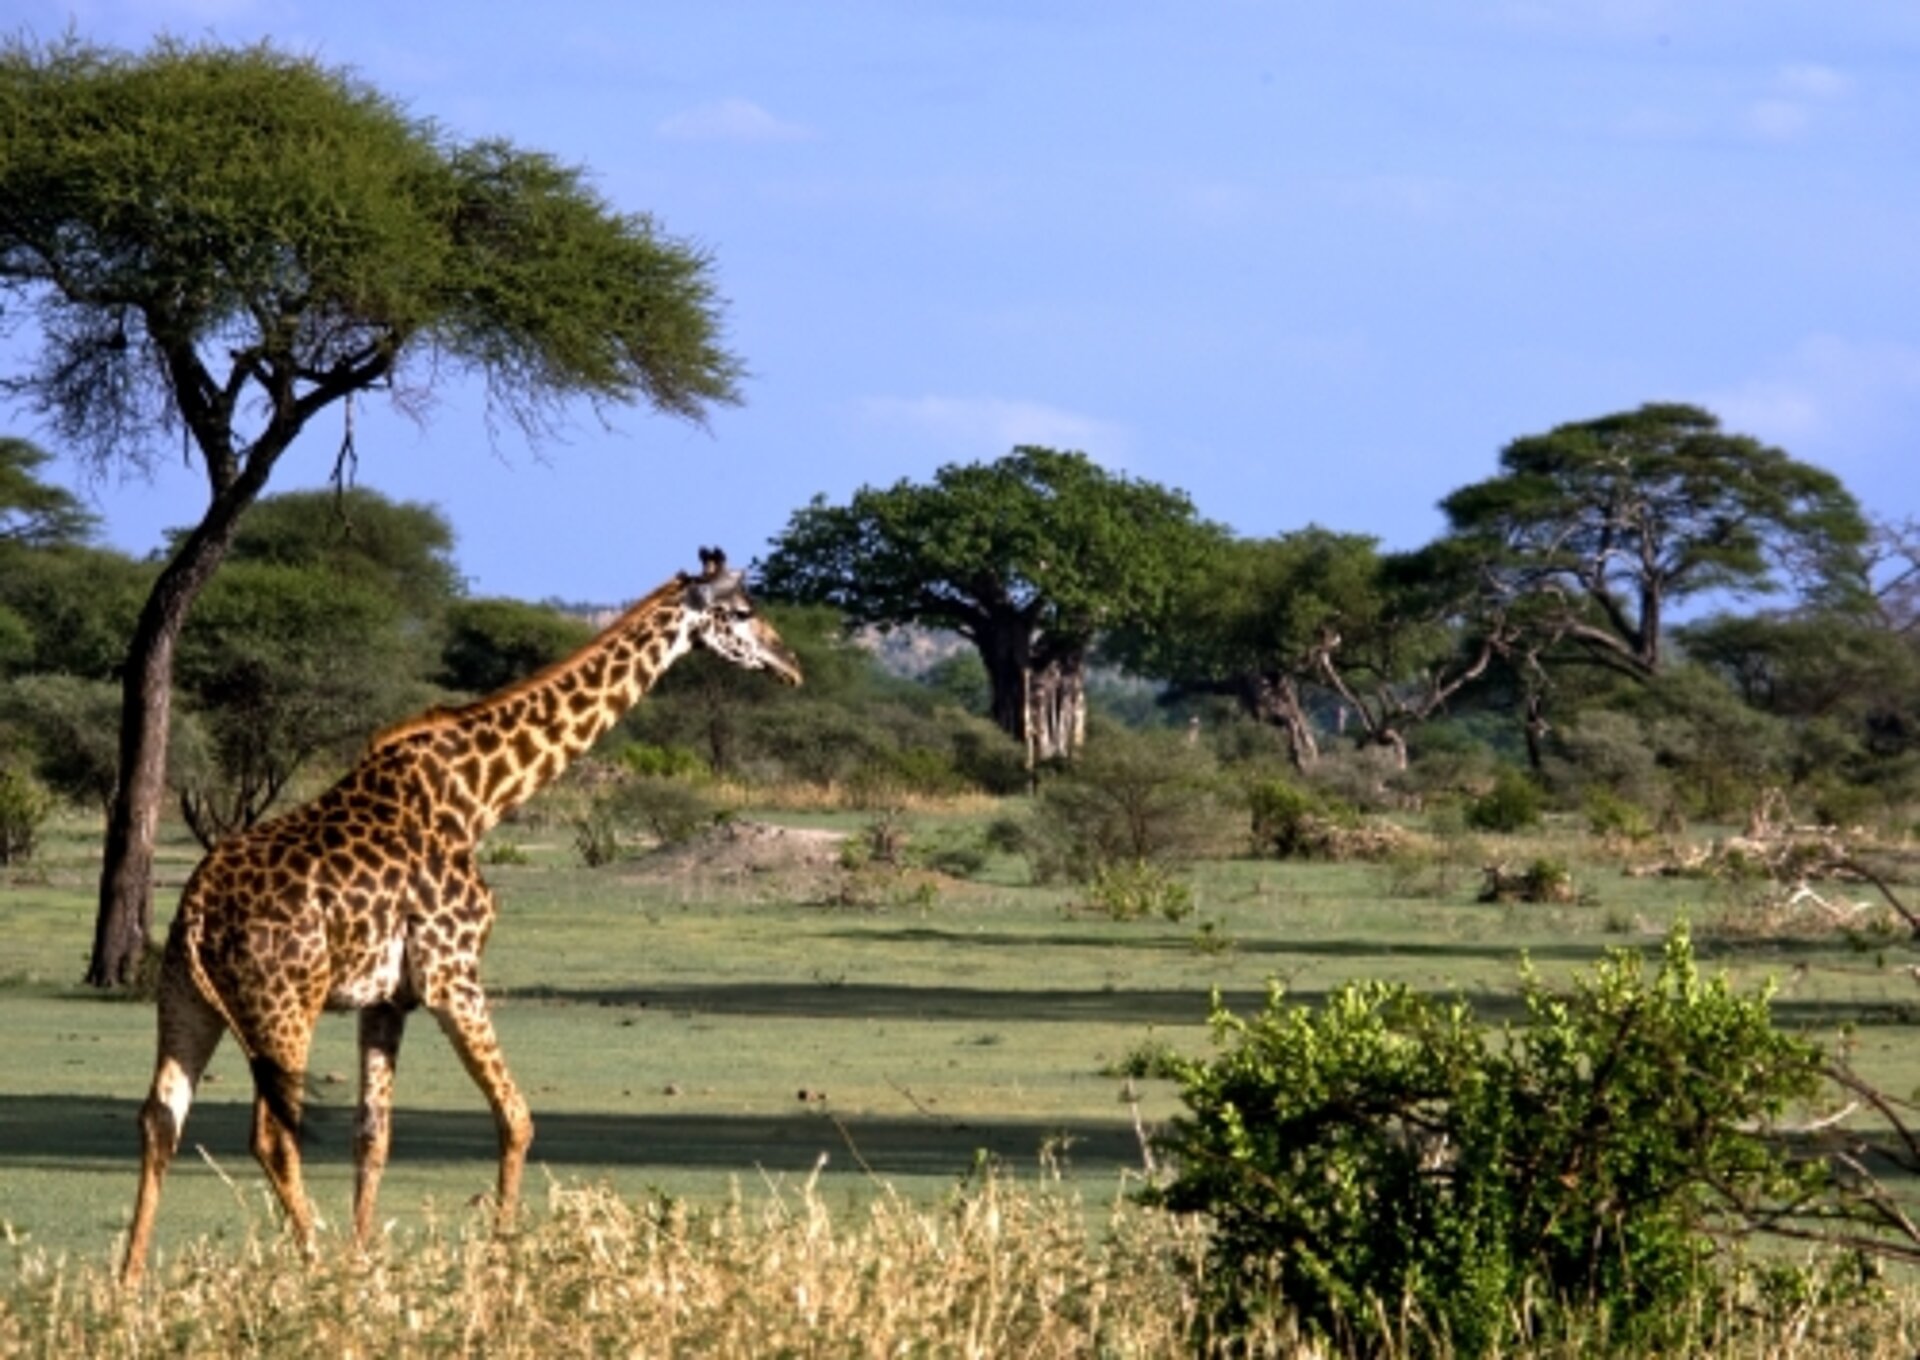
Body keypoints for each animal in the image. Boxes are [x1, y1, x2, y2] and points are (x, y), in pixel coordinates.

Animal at [121, 547, 801, 1285]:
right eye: (743, 611)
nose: (791, 664)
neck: (481, 796)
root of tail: (195, 911)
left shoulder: (386, 998)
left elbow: (374, 1134)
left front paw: (367, 1262)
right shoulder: (454, 974)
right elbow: (517, 1118)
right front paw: (500, 1256)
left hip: (185, 1001)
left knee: (160, 1118)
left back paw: (128, 1284)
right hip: (283, 1007)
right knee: (271, 1136)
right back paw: (314, 1267)